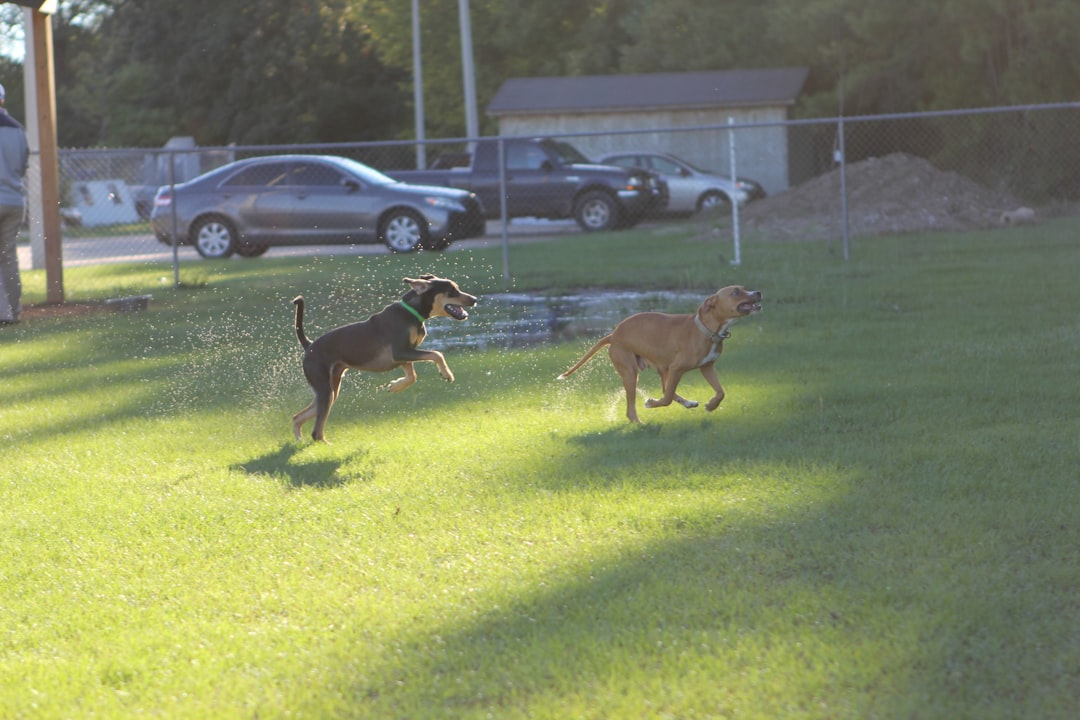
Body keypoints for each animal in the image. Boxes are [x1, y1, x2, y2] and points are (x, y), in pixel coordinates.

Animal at [291, 274, 477, 440]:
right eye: (452, 291)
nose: (474, 299)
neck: (411, 312)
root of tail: (309, 346)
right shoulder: (401, 351)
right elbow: (437, 354)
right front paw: (447, 374)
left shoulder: (404, 355)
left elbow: (412, 376)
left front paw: (395, 386)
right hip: (324, 389)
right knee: (316, 432)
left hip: (331, 389)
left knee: (298, 417)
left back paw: (300, 440)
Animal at [561, 284, 764, 423]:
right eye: (736, 292)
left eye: (745, 288)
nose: (758, 293)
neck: (706, 329)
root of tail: (613, 334)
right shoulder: (677, 369)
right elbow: (665, 399)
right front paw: (651, 404)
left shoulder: (706, 367)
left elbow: (720, 392)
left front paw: (711, 405)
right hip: (631, 373)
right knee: (635, 407)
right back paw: (640, 424)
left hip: (661, 369)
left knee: (667, 390)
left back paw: (687, 403)